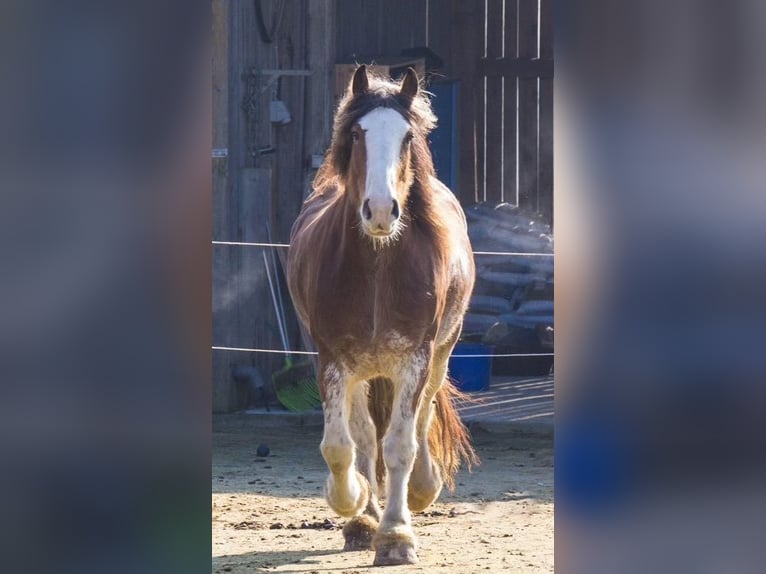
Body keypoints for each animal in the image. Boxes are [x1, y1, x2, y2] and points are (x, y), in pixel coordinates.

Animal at [288, 66, 480, 568]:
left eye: (407, 136)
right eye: (357, 134)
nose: (379, 210)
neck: (378, 267)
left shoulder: (415, 359)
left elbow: (400, 445)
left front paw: (396, 537)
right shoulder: (332, 360)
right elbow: (341, 446)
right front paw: (354, 506)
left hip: (440, 354)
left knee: (422, 416)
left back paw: (421, 490)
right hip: (359, 371)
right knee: (361, 435)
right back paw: (362, 520)